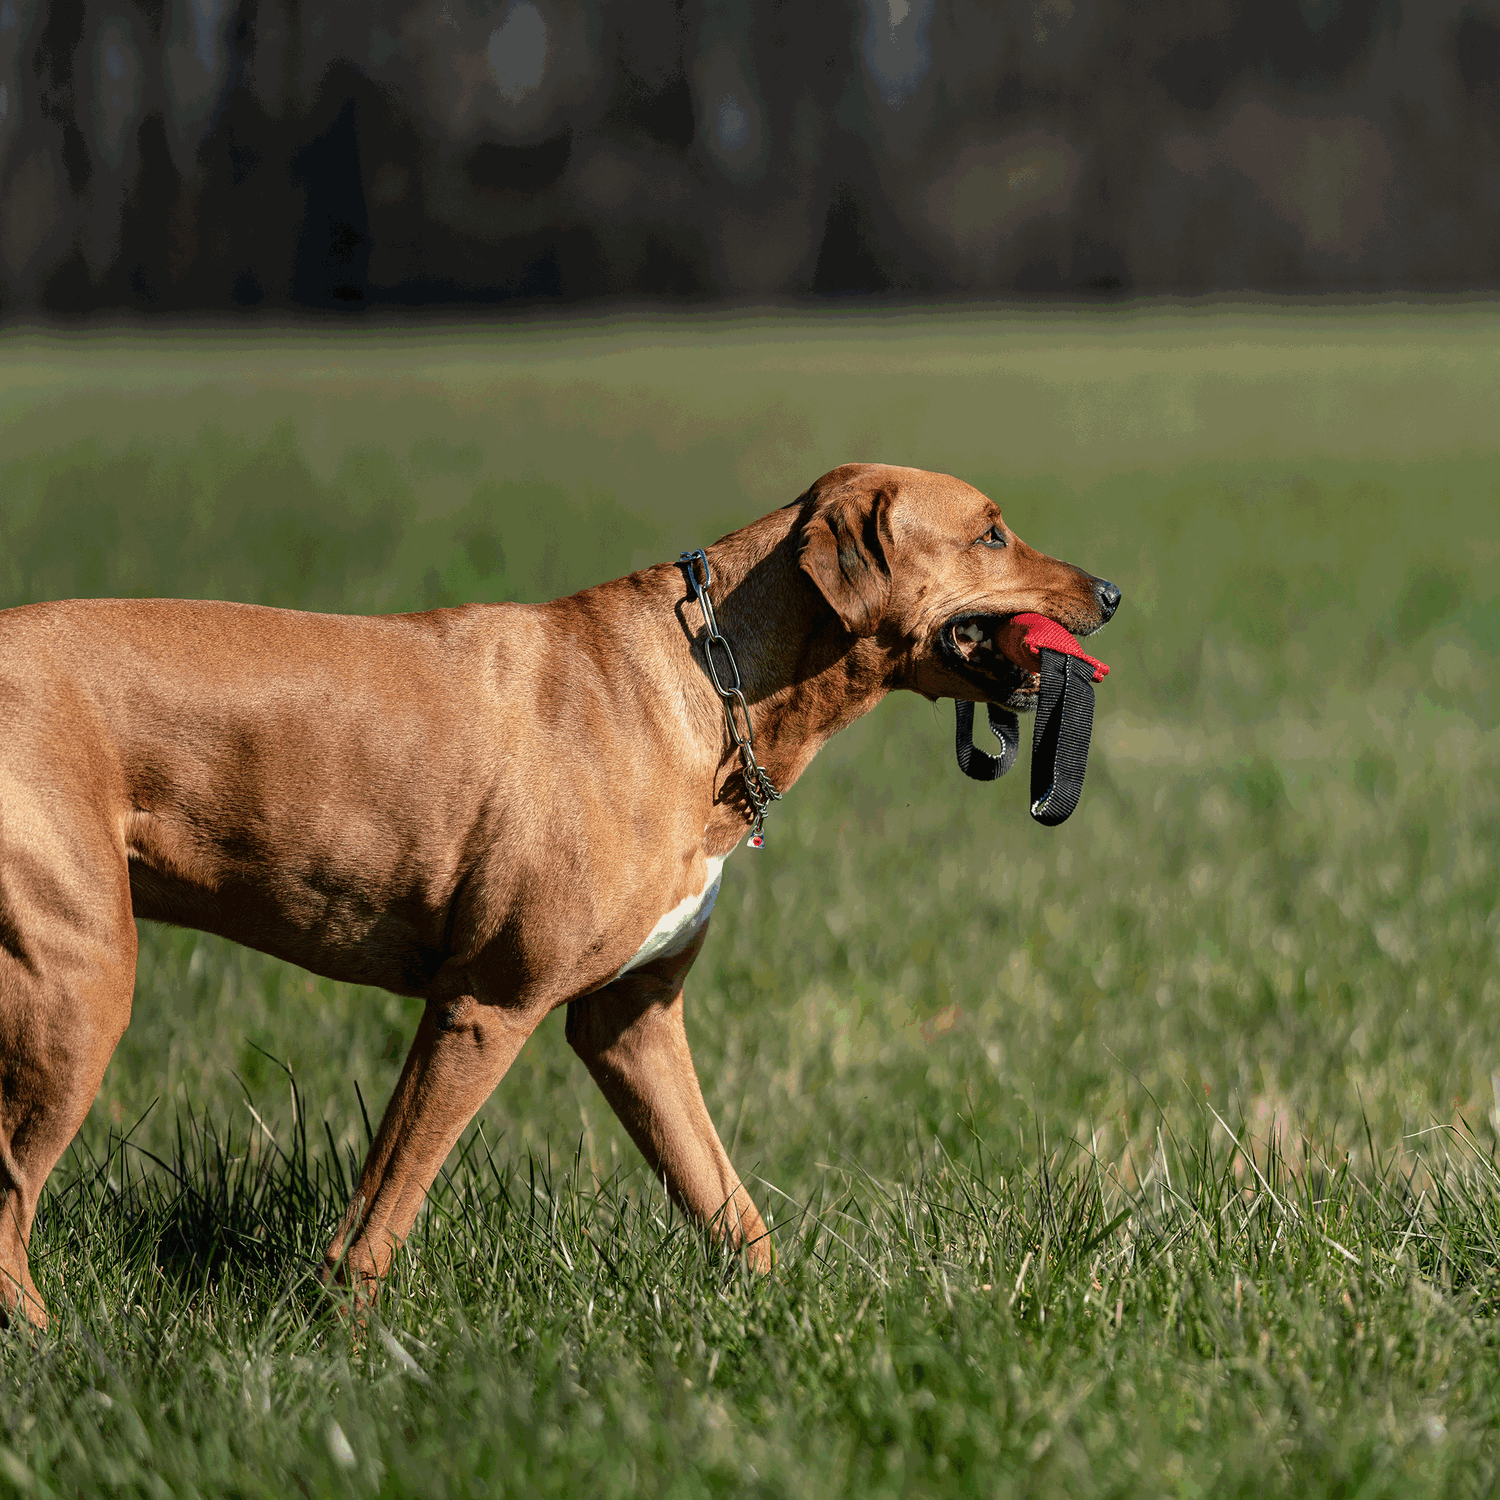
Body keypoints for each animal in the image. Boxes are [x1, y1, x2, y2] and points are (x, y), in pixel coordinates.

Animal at [0, 459, 1116, 1326]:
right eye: (992, 533)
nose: (1110, 594)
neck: (712, 682)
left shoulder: (633, 1022)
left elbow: (726, 1200)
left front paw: (785, 1322)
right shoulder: (485, 1006)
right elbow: (387, 1200)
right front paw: (345, 1337)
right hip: (81, 981)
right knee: (11, 1193)